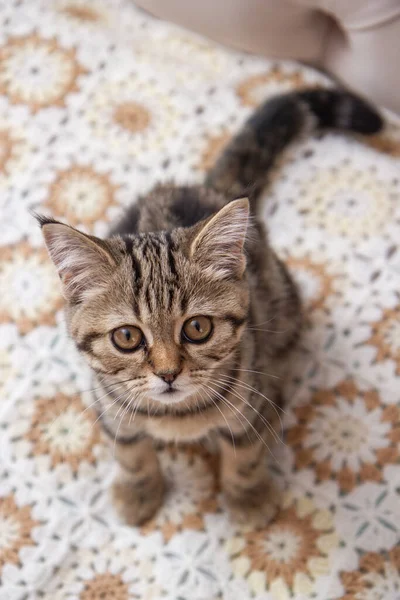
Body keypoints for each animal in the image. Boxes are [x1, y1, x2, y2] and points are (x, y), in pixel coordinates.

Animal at [37, 88, 382, 524]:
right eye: (127, 337)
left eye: (197, 328)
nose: (168, 373)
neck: (177, 417)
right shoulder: (109, 406)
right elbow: (130, 451)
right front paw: (138, 489)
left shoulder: (250, 397)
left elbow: (246, 451)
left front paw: (247, 495)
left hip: (284, 315)